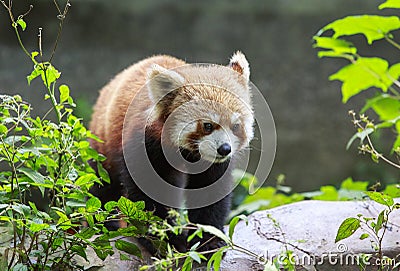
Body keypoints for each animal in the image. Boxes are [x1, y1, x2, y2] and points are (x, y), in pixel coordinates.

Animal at [89, 52, 255, 253]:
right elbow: (149, 192)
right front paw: (162, 239)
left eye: (235, 126)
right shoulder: (145, 144)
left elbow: (210, 193)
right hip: (102, 143)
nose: (224, 149)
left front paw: (209, 240)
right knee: (104, 186)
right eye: (207, 125)